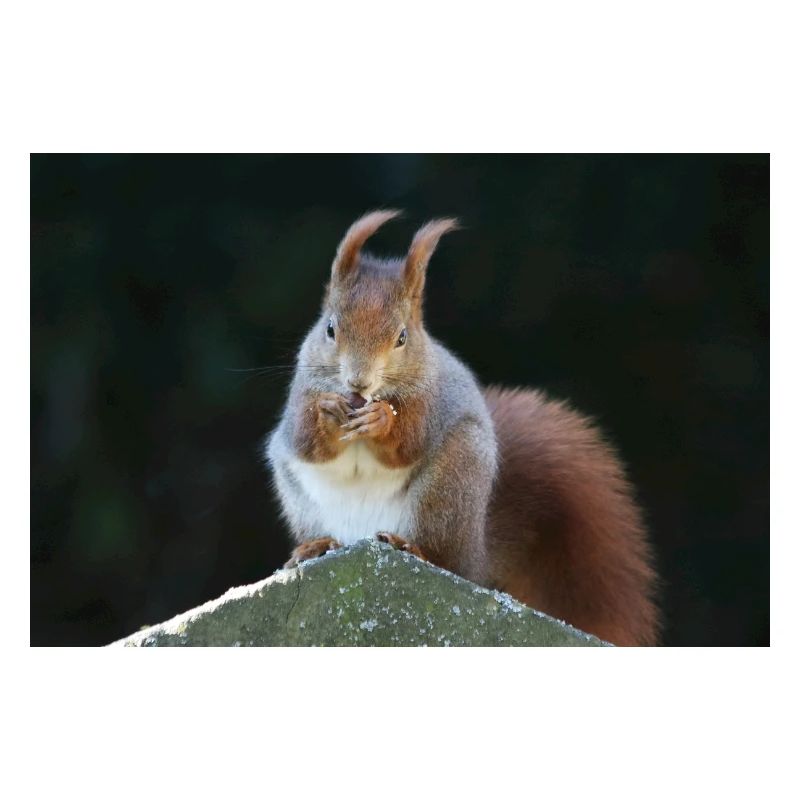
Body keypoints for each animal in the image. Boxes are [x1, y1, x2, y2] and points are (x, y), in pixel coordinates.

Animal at [266, 210, 660, 646]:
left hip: (449, 488)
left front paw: (382, 419)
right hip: (300, 498)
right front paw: (328, 411)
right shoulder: (299, 399)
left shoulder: (430, 402)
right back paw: (314, 547)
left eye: (402, 337)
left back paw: (412, 549)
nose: (358, 383)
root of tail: (477, 554)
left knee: (446, 559)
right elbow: (305, 441)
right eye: (330, 329)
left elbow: (408, 444)